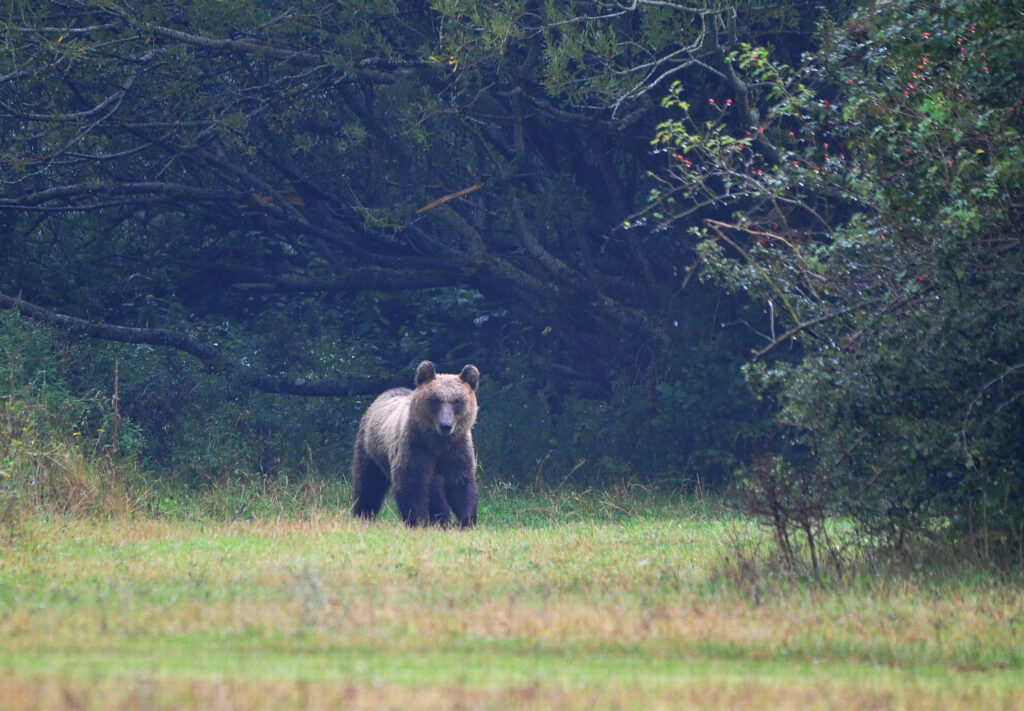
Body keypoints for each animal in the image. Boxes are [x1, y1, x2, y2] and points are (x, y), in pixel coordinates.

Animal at [351, 360, 480, 527]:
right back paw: (363, 514)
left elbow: (461, 483)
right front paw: (418, 521)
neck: (437, 443)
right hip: (370, 449)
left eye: (457, 401)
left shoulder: (456, 449)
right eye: (436, 400)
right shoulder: (415, 446)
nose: (446, 425)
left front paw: (464, 521)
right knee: (368, 483)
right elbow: (411, 484)